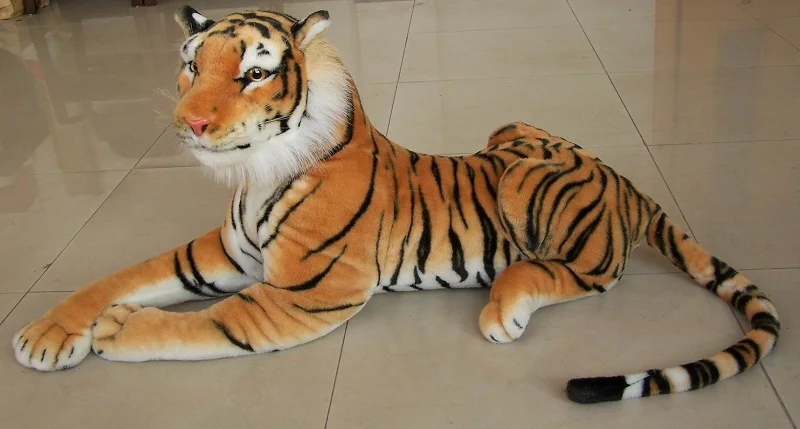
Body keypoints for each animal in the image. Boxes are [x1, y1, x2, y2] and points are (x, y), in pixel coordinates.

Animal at [11, 6, 780, 405]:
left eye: (254, 73)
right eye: (192, 65)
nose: (190, 124)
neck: (256, 173)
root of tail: (625, 180)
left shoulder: (300, 296)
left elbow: (202, 323)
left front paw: (115, 331)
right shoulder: (221, 255)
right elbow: (126, 274)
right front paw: (48, 333)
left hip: (526, 186)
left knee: (581, 274)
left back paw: (505, 308)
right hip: (508, 129)